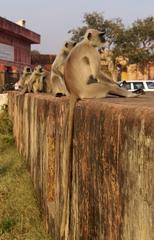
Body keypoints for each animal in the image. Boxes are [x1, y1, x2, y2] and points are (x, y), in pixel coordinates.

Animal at [60, 28, 142, 238]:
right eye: (101, 35)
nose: (104, 41)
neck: (85, 43)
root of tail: (74, 92)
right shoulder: (93, 52)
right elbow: (98, 73)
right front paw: (125, 88)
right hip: (90, 91)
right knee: (102, 84)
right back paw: (127, 94)